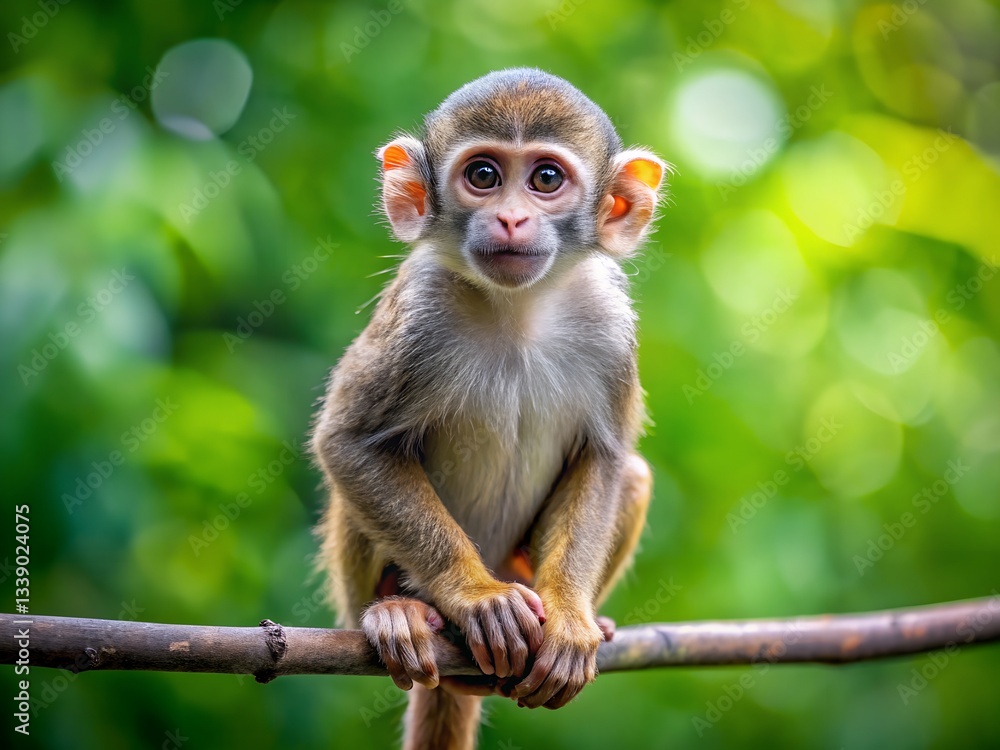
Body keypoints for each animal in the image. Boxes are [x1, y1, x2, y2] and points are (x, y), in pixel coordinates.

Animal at [311, 68, 666, 750]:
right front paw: (475, 596)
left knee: (633, 473)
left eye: (546, 179)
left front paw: (570, 618)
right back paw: (398, 610)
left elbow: (606, 457)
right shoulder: (418, 310)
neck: (518, 310)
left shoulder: (611, 323)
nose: (509, 217)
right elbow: (348, 443)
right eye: (483, 175)